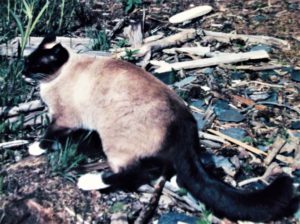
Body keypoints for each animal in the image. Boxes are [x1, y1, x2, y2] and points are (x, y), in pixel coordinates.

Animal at [22, 34, 298, 221]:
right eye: (26, 62)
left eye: (35, 65)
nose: (22, 72)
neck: (59, 75)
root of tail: (185, 121)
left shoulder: (63, 119)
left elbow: (49, 134)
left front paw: (36, 147)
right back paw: (176, 181)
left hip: (113, 141)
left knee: (127, 172)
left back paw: (89, 181)